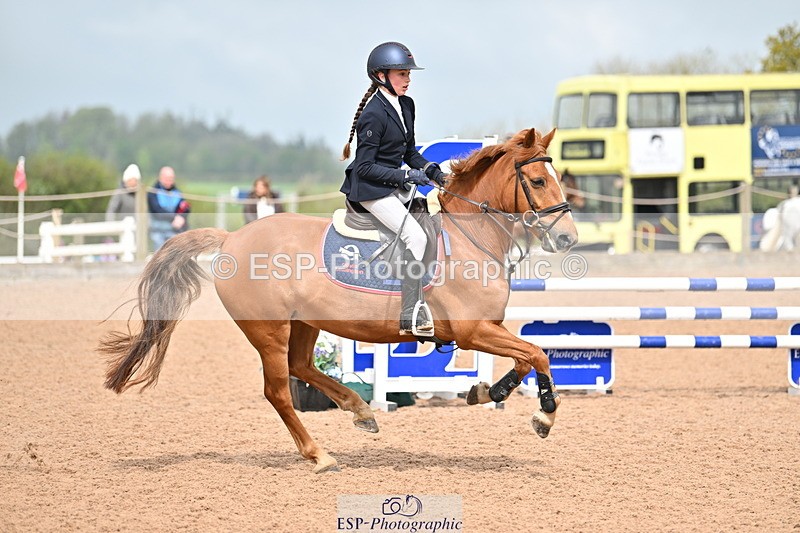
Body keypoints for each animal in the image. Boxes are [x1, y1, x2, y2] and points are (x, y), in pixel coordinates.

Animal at [100, 127, 578, 473]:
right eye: (538, 181)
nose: (567, 238)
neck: (468, 237)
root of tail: (231, 237)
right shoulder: (471, 330)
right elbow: (536, 353)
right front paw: (544, 416)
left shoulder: (486, 329)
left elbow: (527, 356)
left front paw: (487, 391)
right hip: (268, 330)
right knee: (279, 390)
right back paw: (320, 454)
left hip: (304, 323)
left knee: (303, 367)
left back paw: (361, 410)